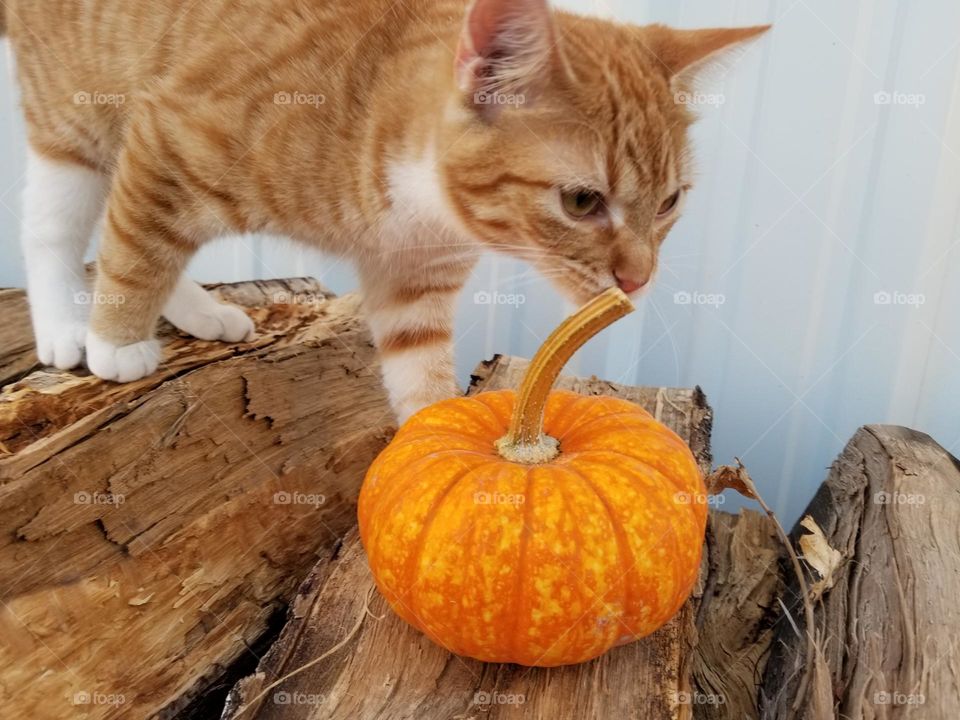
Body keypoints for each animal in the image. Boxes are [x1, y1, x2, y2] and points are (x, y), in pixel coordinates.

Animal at [0, 0, 764, 420]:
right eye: (582, 201)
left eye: (669, 202)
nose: (639, 278)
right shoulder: (169, 133)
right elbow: (136, 249)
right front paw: (117, 340)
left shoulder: (415, 286)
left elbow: (419, 373)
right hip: (79, 114)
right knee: (62, 223)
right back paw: (71, 323)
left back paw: (197, 309)